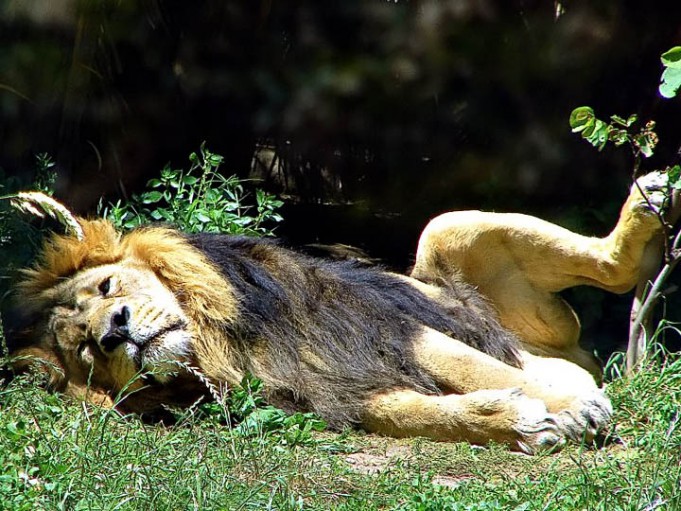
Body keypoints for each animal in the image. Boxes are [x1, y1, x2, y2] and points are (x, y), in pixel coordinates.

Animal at [3, 173, 664, 456]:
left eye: (109, 285)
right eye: (86, 350)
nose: (113, 330)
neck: (224, 349)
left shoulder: (385, 331)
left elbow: (485, 370)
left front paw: (572, 409)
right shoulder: (334, 388)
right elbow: (419, 415)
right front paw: (518, 424)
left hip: (445, 233)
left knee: (608, 267)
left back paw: (650, 204)